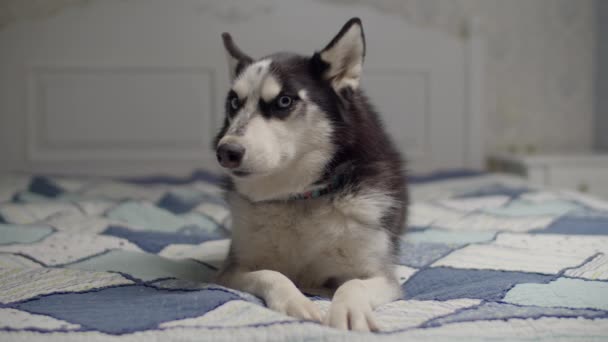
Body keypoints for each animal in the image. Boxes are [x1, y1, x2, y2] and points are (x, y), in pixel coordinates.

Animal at [214, 16, 408, 332]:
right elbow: (272, 274)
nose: (226, 151)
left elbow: (353, 284)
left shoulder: (381, 276)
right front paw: (297, 302)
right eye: (233, 103)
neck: (300, 197)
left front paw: (348, 310)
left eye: (284, 101)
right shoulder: (233, 270)